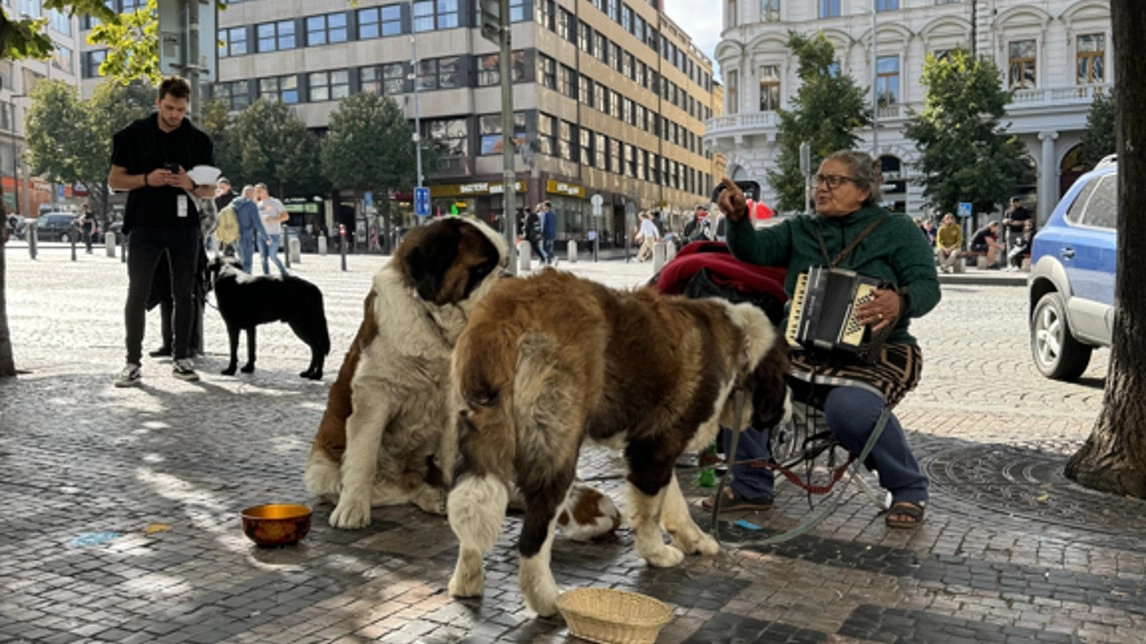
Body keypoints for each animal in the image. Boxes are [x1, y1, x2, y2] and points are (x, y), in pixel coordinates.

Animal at [305, 217, 509, 526]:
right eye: (483, 269)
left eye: (506, 262)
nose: (510, 277)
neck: (436, 329)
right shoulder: (374, 395)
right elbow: (363, 457)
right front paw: (352, 508)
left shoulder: (455, 405)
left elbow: (452, 457)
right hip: (321, 469)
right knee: (372, 487)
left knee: (415, 484)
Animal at [446, 270, 791, 617]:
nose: (788, 411)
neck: (739, 346)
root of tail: (508, 311)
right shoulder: (653, 449)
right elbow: (651, 511)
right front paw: (657, 554)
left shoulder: (659, 441)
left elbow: (674, 502)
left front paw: (695, 541)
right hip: (556, 449)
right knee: (534, 536)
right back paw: (546, 599)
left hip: (478, 434)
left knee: (469, 513)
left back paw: (467, 582)